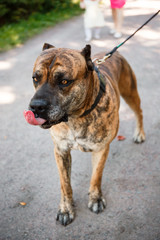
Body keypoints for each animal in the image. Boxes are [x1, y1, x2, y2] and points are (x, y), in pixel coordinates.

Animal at [28, 43, 145, 225]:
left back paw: (139, 133)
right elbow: (65, 184)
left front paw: (95, 199)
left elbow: (96, 176)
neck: (75, 117)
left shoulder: (101, 149)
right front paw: (66, 208)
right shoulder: (60, 151)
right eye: (35, 78)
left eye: (64, 81)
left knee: (138, 112)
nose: (36, 106)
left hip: (130, 92)